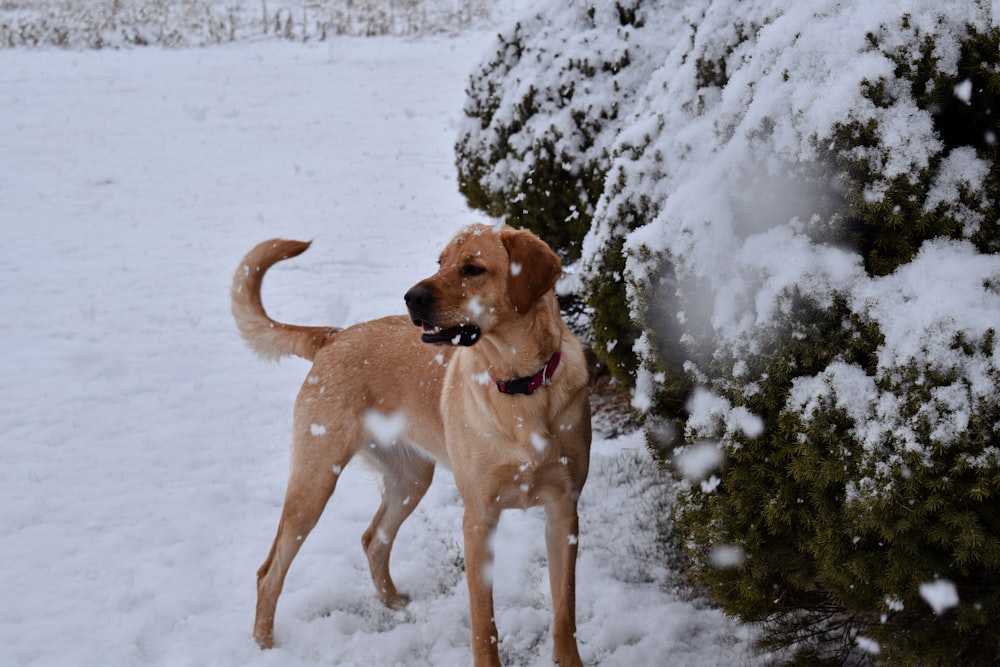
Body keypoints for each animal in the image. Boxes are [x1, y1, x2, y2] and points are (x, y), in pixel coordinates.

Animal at [232, 226, 592, 667]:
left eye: (472, 269)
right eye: (440, 262)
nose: (410, 297)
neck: (520, 386)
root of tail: (334, 336)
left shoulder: (564, 513)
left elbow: (564, 611)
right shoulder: (478, 520)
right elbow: (483, 623)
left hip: (411, 480)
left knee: (373, 539)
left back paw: (395, 604)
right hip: (314, 483)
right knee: (269, 571)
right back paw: (264, 645)